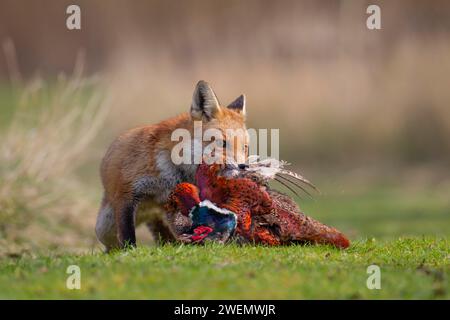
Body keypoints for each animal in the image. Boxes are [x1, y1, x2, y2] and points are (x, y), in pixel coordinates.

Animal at [96, 80, 250, 250]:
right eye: (222, 143)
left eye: (245, 147)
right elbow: (127, 233)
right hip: (105, 227)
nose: (243, 166)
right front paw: (130, 250)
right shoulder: (127, 192)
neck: (173, 172)